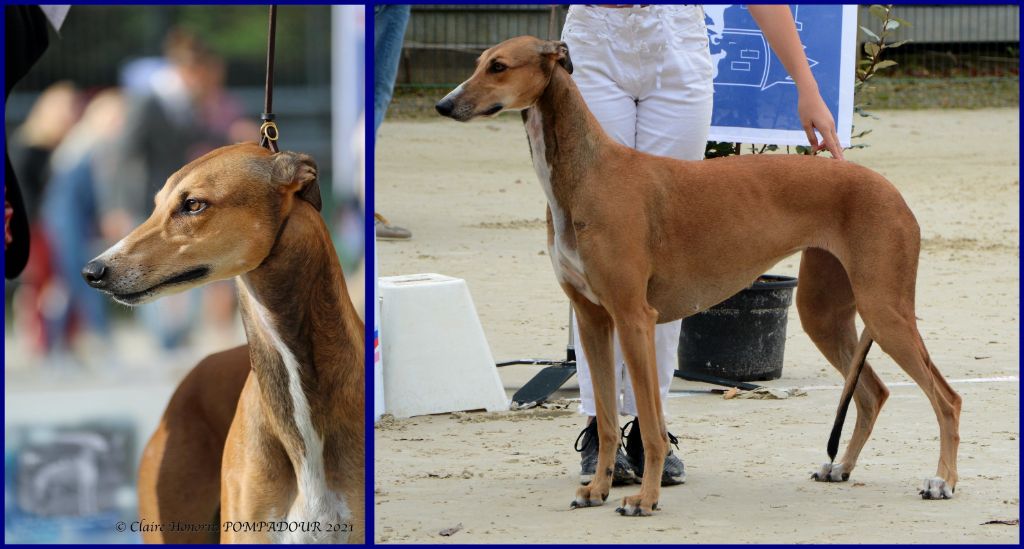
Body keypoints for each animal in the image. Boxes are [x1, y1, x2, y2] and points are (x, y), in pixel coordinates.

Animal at [436, 36, 962, 516]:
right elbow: (605, 417)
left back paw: (943, 481)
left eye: (499, 66)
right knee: (874, 391)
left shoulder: (634, 317)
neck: (587, 174)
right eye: (479, 63)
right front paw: (598, 489)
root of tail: (888, 187)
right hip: (824, 313)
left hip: (884, 308)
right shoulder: (592, 319)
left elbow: (650, 421)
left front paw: (644, 499)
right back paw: (842, 466)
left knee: (948, 398)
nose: (444, 104)